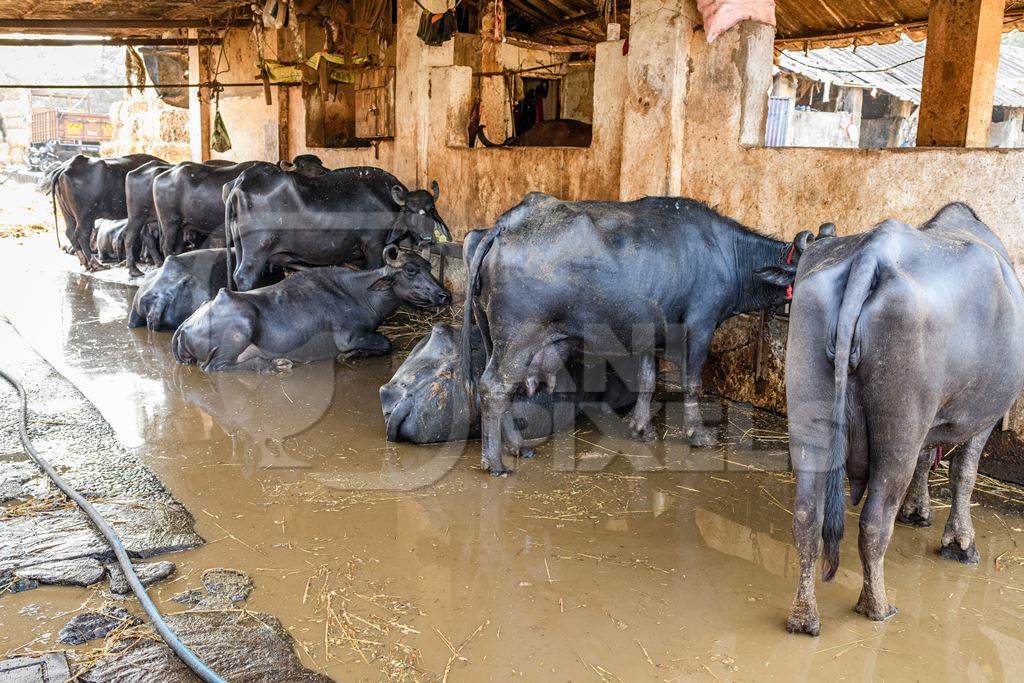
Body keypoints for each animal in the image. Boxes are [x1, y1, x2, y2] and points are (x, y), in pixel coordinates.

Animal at [172, 246, 448, 374]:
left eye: (428, 267)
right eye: (410, 270)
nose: (444, 295)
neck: (360, 293)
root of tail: (185, 326)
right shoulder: (349, 337)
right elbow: (385, 343)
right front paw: (350, 356)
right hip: (242, 326)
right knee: (216, 367)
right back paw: (275, 365)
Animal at [224, 166, 452, 292]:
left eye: (431, 209)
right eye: (411, 210)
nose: (427, 238)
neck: (385, 198)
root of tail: (241, 181)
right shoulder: (373, 246)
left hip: (241, 247)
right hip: (257, 251)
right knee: (244, 276)